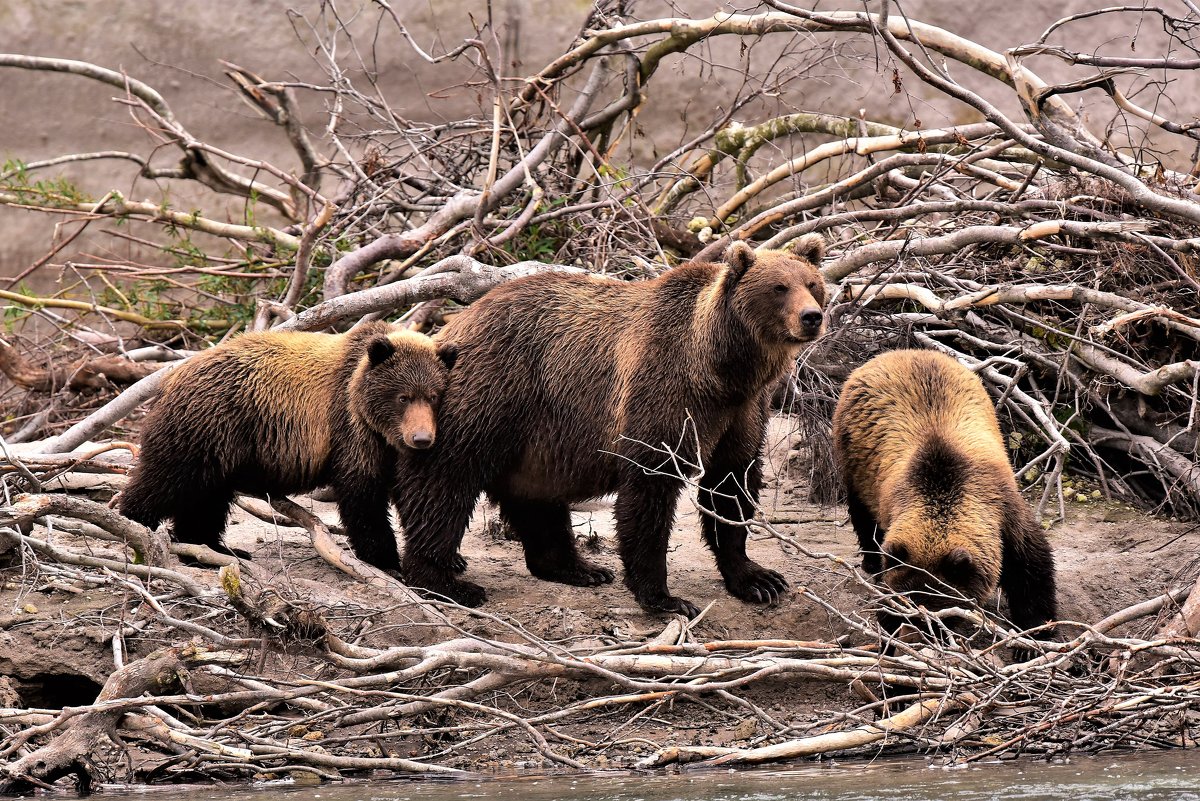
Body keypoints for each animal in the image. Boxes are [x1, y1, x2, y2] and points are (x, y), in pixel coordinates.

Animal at [118, 321, 453, 568]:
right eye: (403, 397)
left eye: (434, 395)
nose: (421, 438)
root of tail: (171, 376)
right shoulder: (350, 426)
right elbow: (363, 494)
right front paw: (385, 559)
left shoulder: (393, 449)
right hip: (207, 426)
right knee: (169, 479)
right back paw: (134, 525)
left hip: (221, 449)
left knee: (207, 498)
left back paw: (211, 549)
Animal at [393, 235, 825, 618]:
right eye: (779, 287)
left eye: (812, 284)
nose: (812, 317)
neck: (724, 368)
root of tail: (453, 324)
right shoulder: (665, 391)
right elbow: (650, 485)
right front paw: (664, 597)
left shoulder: (745, 409)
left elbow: (731, 483)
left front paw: (758, 579)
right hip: (491, 392)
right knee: (447, 480)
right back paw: (445, 581)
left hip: (538, 431)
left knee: (534, 493)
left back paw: (577, 568)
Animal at [830, 347, 1056, 642]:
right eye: (907, 604)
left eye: (943, 613)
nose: (915, 636)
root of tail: (899, 351)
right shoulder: (894, 505)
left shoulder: (1003, 510)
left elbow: (1031, 566)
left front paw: (1036, 629)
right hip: (853, 459)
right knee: (862, 515)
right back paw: (870, 560)